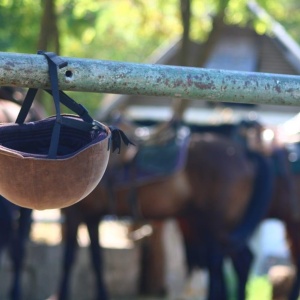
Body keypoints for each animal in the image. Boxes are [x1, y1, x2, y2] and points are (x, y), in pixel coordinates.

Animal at [50, 114, 278, 300]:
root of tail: (244, 152)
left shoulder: (74, 213)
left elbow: (68, 259)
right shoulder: (92, 215)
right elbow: (96, 260)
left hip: (217, 223)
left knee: (222, 262)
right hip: (218, 225)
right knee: (240, 260)